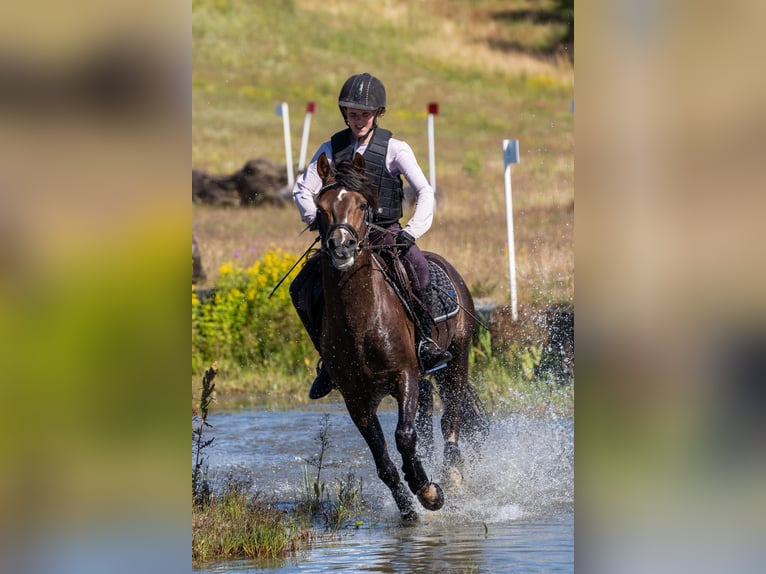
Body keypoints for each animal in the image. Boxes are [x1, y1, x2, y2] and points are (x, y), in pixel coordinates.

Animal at [314, 152, 488, 520]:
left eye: (362, 204)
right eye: (320, 208)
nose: (341, 248)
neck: (362, 320)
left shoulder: (404, 375)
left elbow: (405, 436)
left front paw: (428, 491)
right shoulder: (357, 399)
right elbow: (383, 460)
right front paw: (407, 508)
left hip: (457, 359)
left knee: (450, 416)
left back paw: (452, 474)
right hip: (424, 378)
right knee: (427, 421)